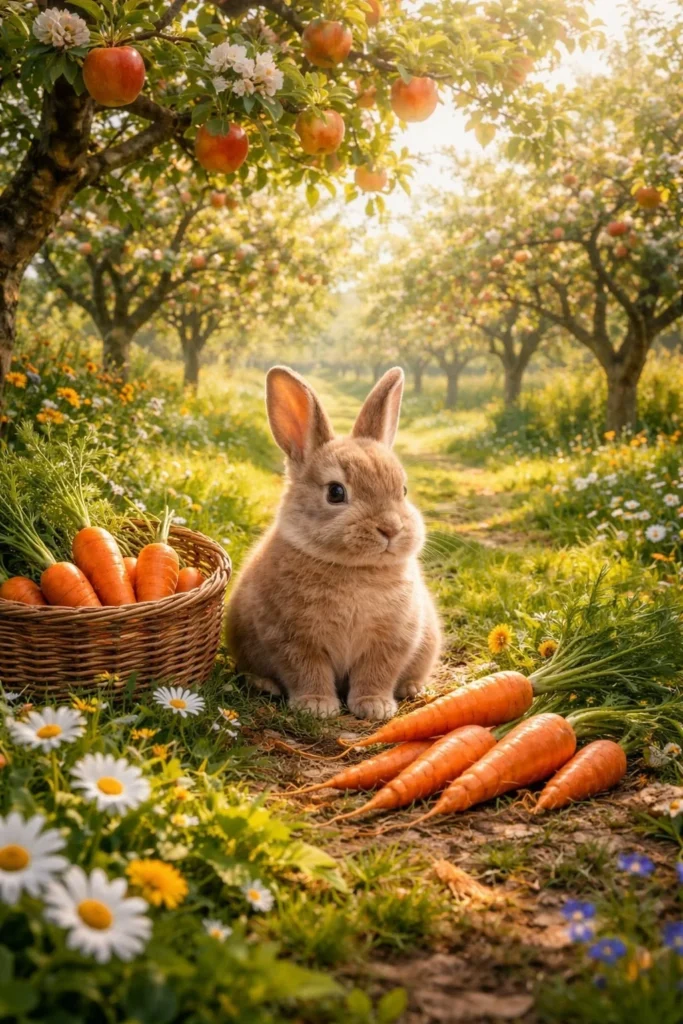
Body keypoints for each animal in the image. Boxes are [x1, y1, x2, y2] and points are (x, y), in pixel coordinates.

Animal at [226, 365, 441, 721]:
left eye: (403, 490)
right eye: (335, 492)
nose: (390, 528)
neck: (354, 568)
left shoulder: (390, 641)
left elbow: (377, 673)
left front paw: (374, 706)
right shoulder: (292, 639)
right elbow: (306, 671)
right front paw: (317, 706)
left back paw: (412, 688)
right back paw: (265, 685)